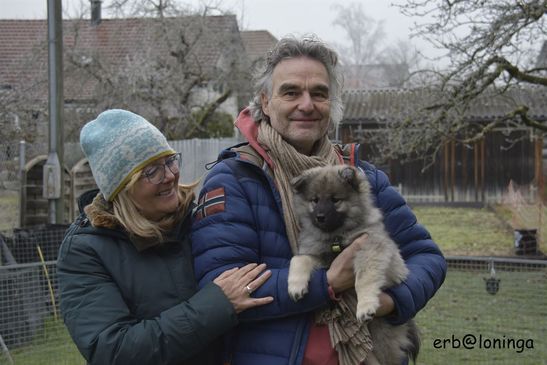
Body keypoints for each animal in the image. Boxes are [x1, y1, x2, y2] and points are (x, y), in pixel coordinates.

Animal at [292, 165, 420, 364]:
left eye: (335, 200)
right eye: (315, 200)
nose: (320, 217)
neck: (336, 237)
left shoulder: (370, 249)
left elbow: (363, 279)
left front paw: (366, 305)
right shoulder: (318, 254)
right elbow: (299, 259)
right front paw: (296, 286)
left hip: (383, 341)